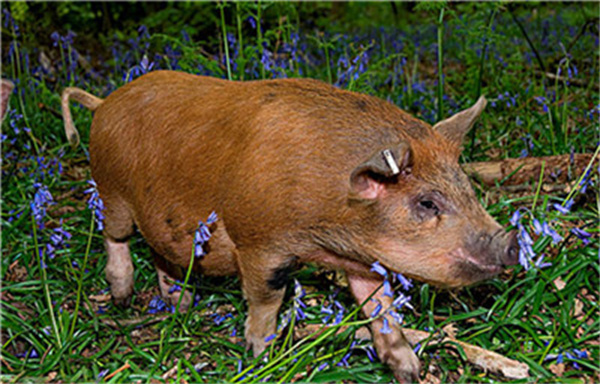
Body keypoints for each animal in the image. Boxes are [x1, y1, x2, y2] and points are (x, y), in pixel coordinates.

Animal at [62, 71, 520, 380]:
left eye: (468, 190)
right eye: (427, 202)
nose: (512, 242)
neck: (330, 228)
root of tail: (104, 103)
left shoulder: (360, 260)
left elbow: (381, 308)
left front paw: (409, 371)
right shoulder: (260, 242)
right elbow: (268, 298)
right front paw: (258, 357)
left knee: (162, 254)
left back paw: (181, 304)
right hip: (112, 191)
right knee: (113, 234)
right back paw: (122, 298)